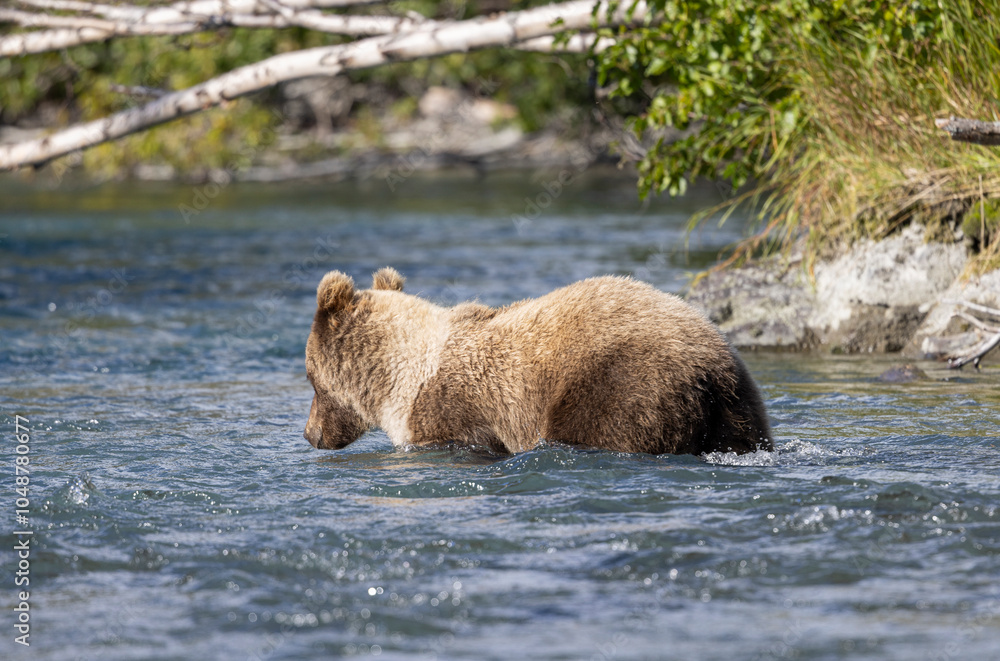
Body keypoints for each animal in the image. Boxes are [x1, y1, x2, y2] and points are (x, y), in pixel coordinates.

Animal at [304, 267, 772, 456]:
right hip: (738, 404)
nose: (310, 434)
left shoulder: (455, 414)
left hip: (625, 384)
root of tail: (709, 367)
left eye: (310, 378)